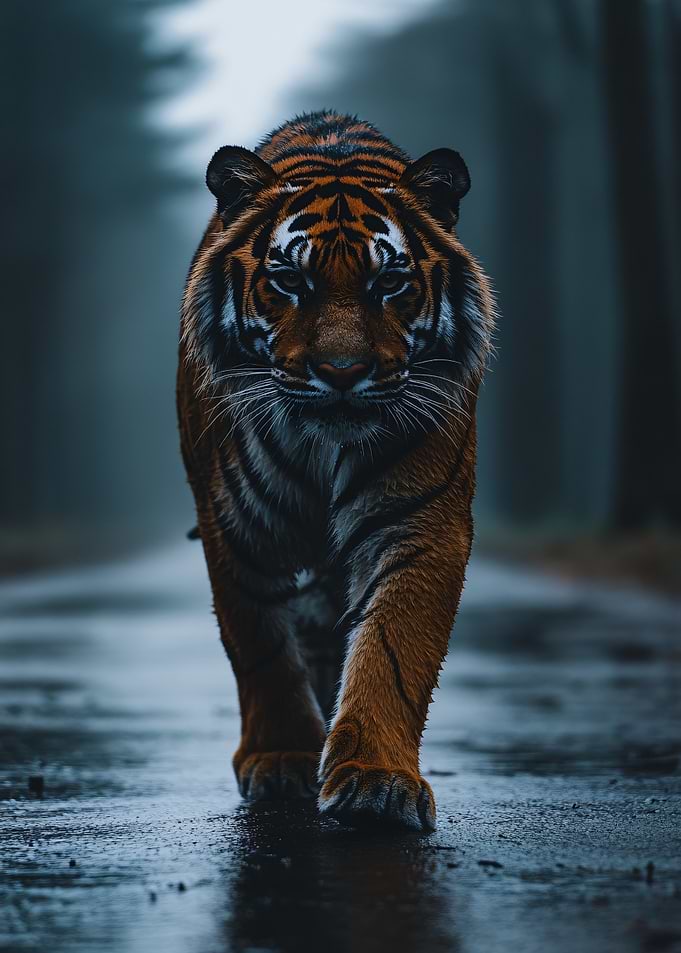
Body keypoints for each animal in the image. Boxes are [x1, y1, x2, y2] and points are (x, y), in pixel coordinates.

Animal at [177, 111, 494, 831]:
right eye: (290, 281)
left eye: (390, 283)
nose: (343, 373)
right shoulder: (235, 528)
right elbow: (262, 649)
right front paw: (282, 759)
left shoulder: (420, 522)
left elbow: (393, 648)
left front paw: (376, 780)